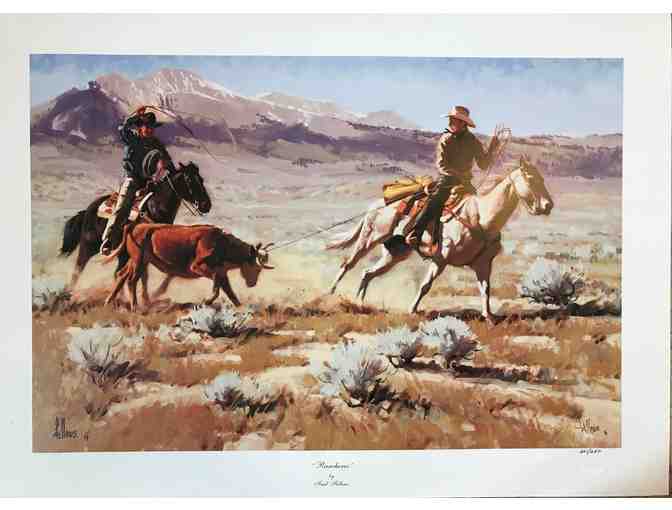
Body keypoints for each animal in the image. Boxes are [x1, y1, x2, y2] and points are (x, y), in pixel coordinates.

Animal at [59, 161, 212, 292]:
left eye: (201, 179)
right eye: (189, 180)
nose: (206, 205)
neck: (155, 207)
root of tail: (87, 210)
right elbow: (145, 276)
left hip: (121, 254)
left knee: (116, 273)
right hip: (88, 246)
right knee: (78, 269)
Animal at [325, 156, 554, 323]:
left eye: (543, 179)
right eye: (531, 179)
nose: (548, 205)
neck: (481, 218)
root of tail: (376, 205)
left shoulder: (482, 264)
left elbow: (485, 290)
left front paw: (489, 317)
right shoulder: (440, 260)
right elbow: (425, 285)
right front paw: (412, 310)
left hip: (394, 254)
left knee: (368, 273)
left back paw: (359, 302)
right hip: (369, 239)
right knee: (348, 263)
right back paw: (330, 293)